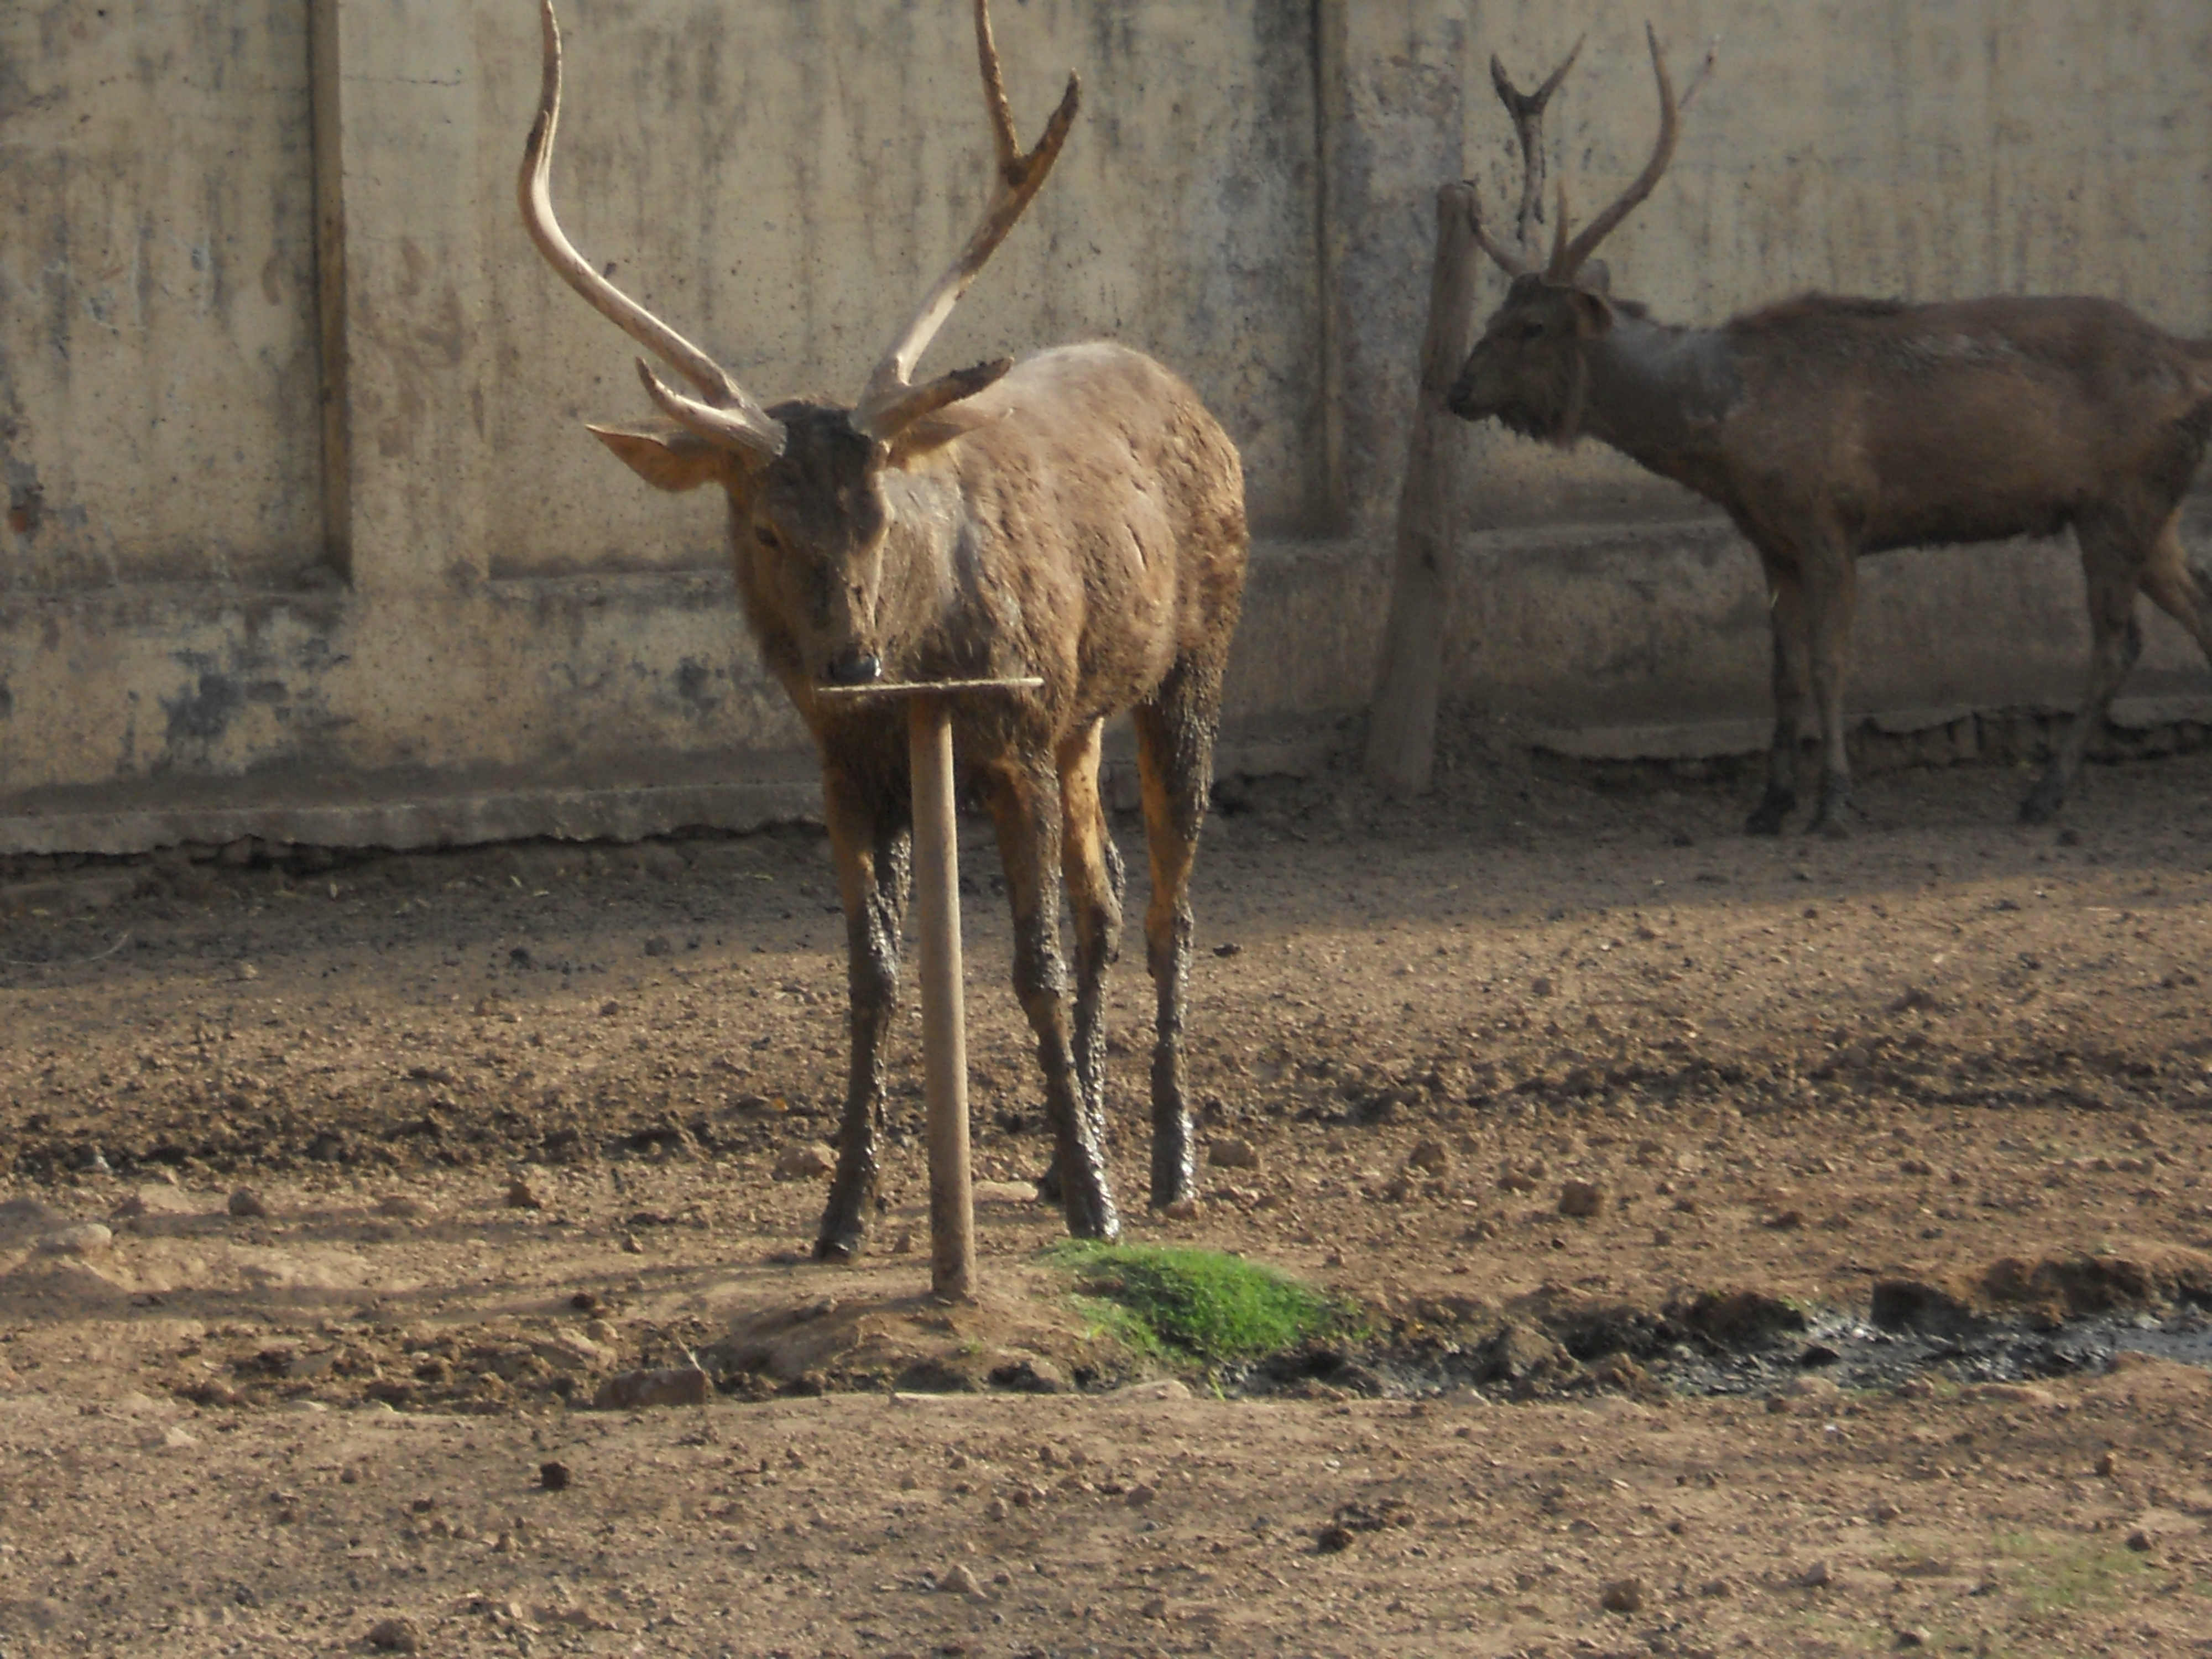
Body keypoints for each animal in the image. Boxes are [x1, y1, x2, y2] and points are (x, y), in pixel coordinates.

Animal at [515, 0, 1248, 1256]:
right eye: (765, 527)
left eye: (880, 511)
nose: (850, 663)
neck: (921, 649)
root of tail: (1199, 406)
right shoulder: (848, 768)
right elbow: (873, 978)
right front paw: (843, 1212)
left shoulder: (1006, 734)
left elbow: (1032, 968)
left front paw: (1096, 1203)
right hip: (1079, 717)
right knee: (1105, 899)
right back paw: (1071, 1152)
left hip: (1190, 663)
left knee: (1167, 907)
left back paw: (1162, 1162)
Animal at [1442, 35, 2212, 845]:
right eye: (1494, 313)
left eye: (1533, 327)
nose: (1458, 391)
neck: (1727, 435)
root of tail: (2189, 362)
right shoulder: (1769, 538)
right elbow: (1781, 673)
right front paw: (1769, 803)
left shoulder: (1831, 519)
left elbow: (1829, 664)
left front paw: (1834, 801)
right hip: (2153, 510)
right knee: (2199, 607)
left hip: (2121, 501)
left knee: (2117, 643)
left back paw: (2044, 794)